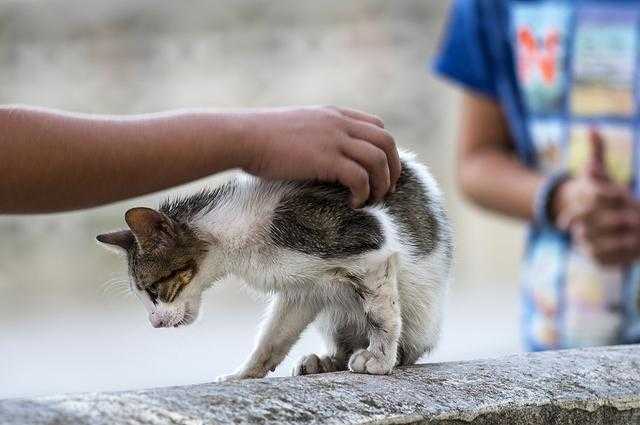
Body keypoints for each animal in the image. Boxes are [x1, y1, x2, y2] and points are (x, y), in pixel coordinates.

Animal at [97, 151, 452, 380]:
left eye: (154, 290)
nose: (155, 322)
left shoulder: (372, 245)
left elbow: (381, 315)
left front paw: (379, 358)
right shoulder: (302, 288)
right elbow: (273, 335)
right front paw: (244, 374)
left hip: (422, 314)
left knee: (407, 340)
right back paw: (326, 361)